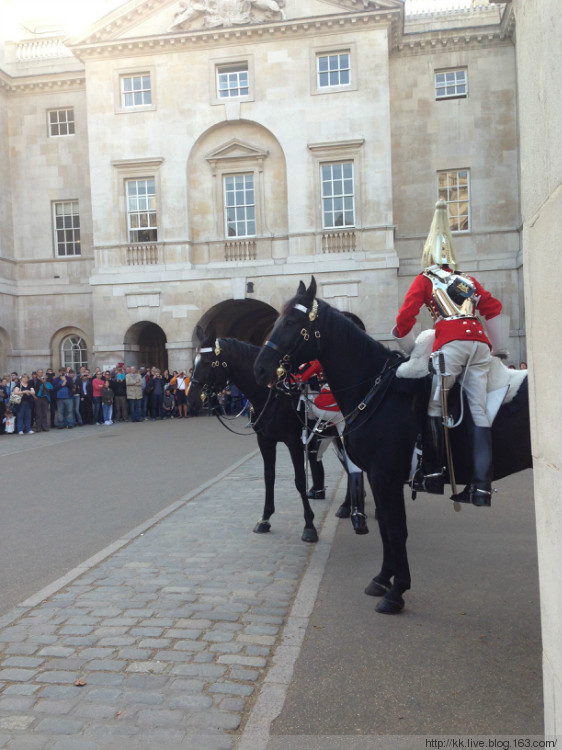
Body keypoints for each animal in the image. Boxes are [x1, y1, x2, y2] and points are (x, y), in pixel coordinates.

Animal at [186, 338, 366, 544]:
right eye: (194, 363)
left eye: (208, 363)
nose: (190, 400)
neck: (270, 394)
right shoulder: (265, 441)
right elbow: (269, 477)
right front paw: (265, 519)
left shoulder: (293, 441)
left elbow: (300, 480)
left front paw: (309, 525)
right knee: (348, 467)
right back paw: (346, 506)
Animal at [254, 280, 528, 612]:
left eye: (292, 321)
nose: (260, 369)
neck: (375, 390)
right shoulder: (377, 475)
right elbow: (385, 526)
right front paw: (383, 578)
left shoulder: (387, 476)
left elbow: (397, 530)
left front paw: (397, 592)